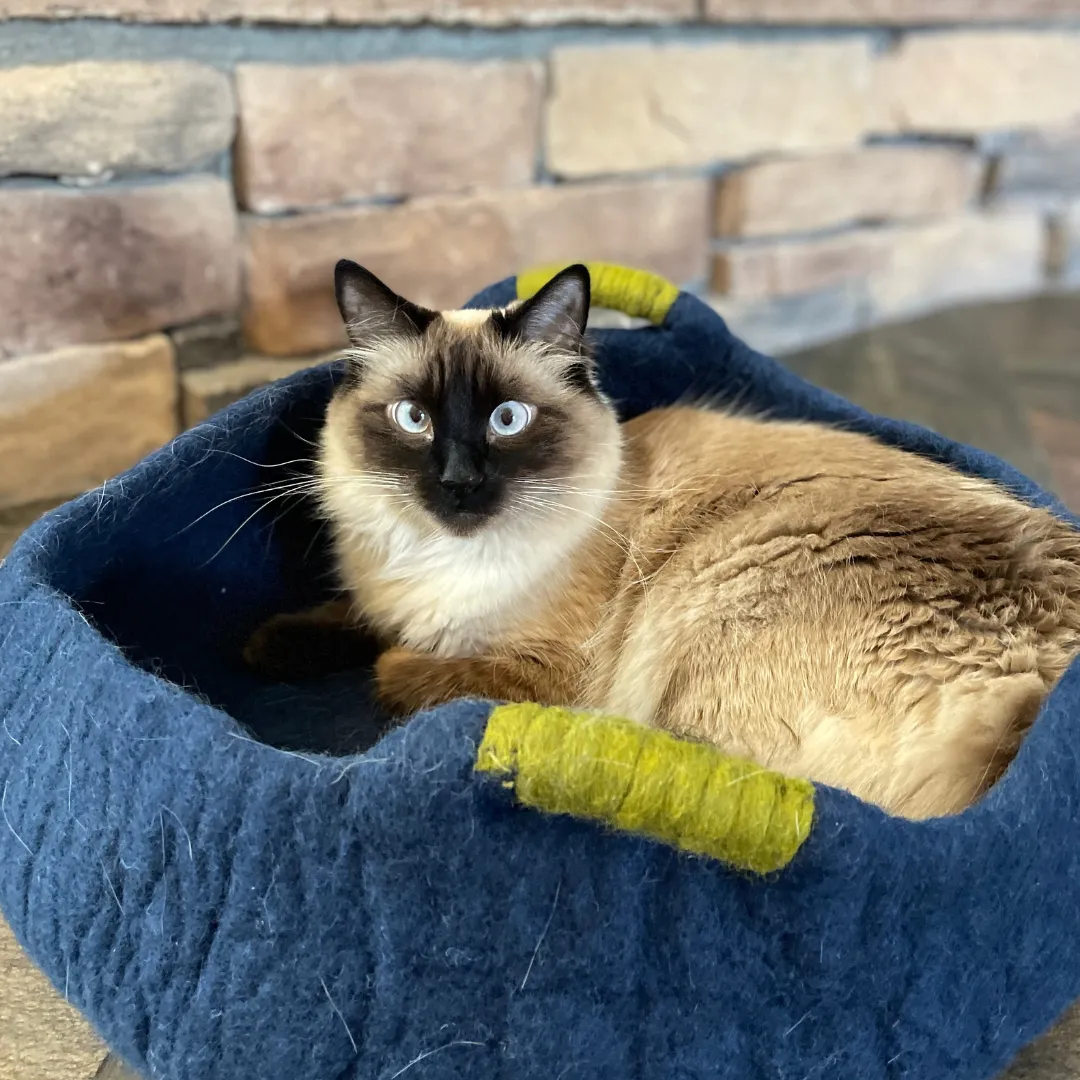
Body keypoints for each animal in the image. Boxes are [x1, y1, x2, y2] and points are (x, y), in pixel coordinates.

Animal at [245, 261, 1080, 816]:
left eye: (507, 420)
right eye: (413, 420)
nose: (457, 482)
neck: (440, 563)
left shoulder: (540, 675)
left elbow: (395, 665)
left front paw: (382, 664)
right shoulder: (383, 602)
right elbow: (347, 620)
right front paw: (262, 646)